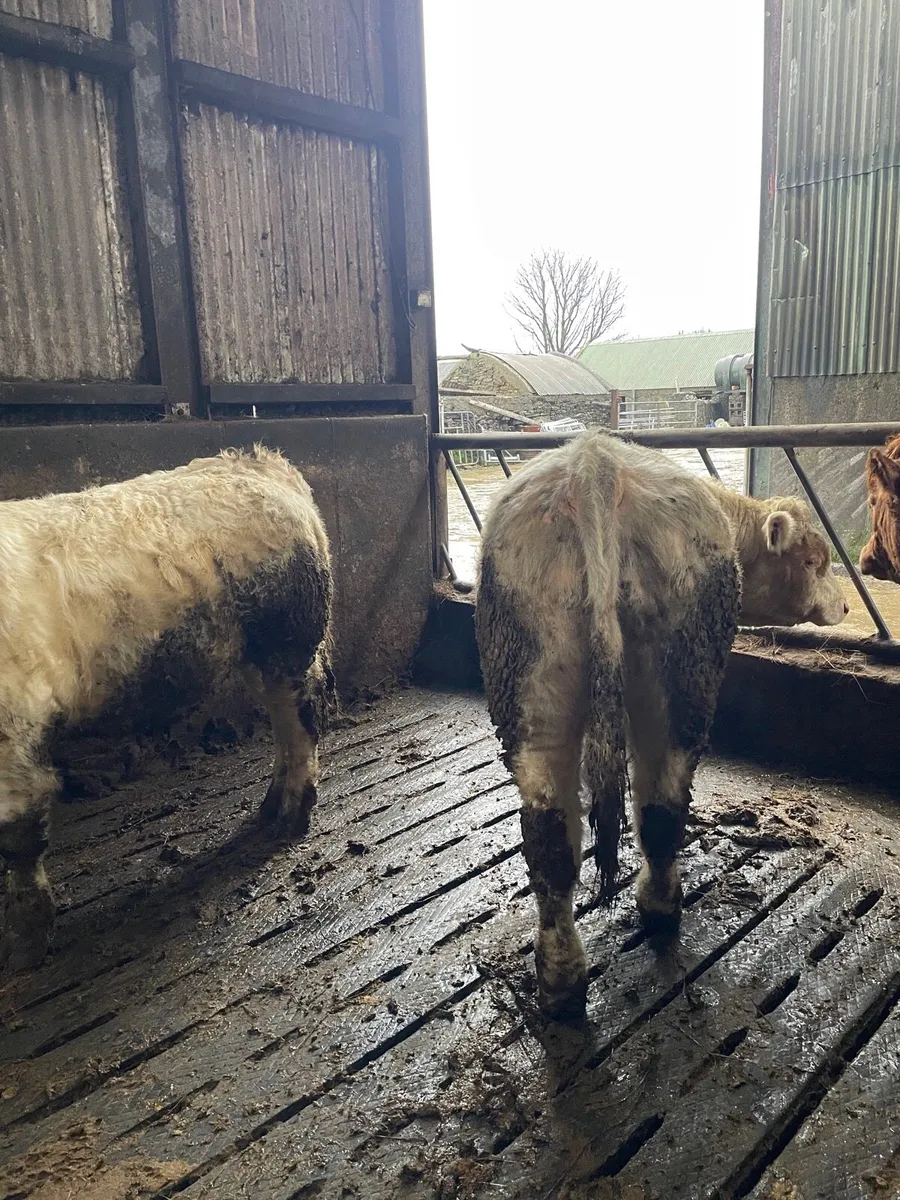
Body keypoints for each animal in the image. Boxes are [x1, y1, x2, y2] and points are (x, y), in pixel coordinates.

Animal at [0, 446, 335, 974]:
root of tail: (258, 461)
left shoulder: (16, 734)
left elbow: (18, 841)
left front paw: (23, 945)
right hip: (263, 655)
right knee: (285, 727)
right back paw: (270, 808)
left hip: (287, 643)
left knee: (301, 725)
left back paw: (290, 815)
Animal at [475, 432, 847, 1019]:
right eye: (813, 560)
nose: (846, 606)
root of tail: (594, 464)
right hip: (679, 673)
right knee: (661, 801)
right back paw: (661, 908)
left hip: (527, 673)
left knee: (550, 838)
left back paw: (559, 980)